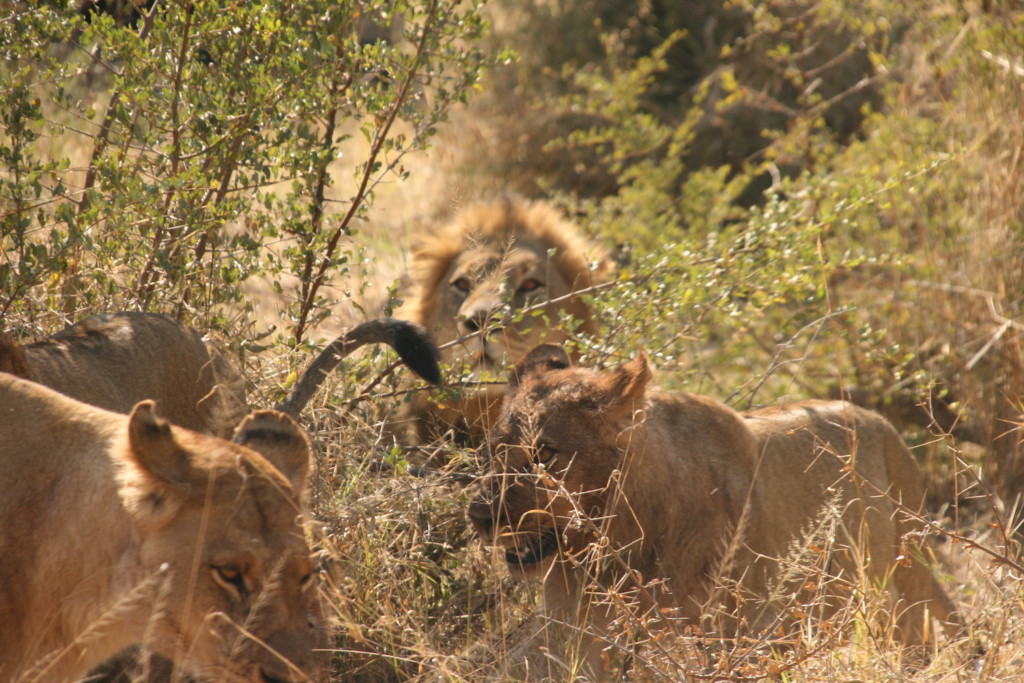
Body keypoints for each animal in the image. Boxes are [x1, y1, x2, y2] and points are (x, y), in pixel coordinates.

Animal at [468, 344, 962, 675]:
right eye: (492, 451)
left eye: (544, 454)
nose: (479, 516)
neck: (622, 542)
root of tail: (882, 422)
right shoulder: (577, 631)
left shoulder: (734, 632)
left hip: (903, 572)